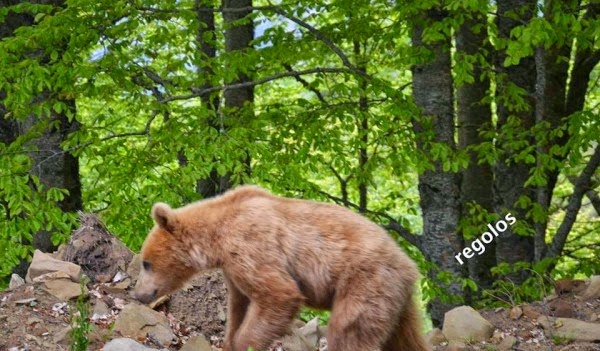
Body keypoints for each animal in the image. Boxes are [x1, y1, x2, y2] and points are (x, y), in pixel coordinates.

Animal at [134, 186, 428, 350]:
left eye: (146, 263)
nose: (139, 294)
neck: (215, 240)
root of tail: (409, 265)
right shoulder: (233, 270)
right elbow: (239, 305)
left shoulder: (251, 246)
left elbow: (278, 295)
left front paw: (244, 344)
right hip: (397, 302)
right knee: (405, 340)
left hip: (365, 282)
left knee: (348, 331)